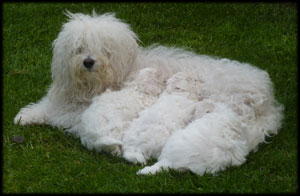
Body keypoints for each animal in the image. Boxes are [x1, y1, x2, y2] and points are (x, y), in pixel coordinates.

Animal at [14, 11, 284, 176]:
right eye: (79, 48)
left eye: (104, 49)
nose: (88, 61)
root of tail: (269, 101)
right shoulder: (62, 98)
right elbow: (45, 107)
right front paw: (27, 115)